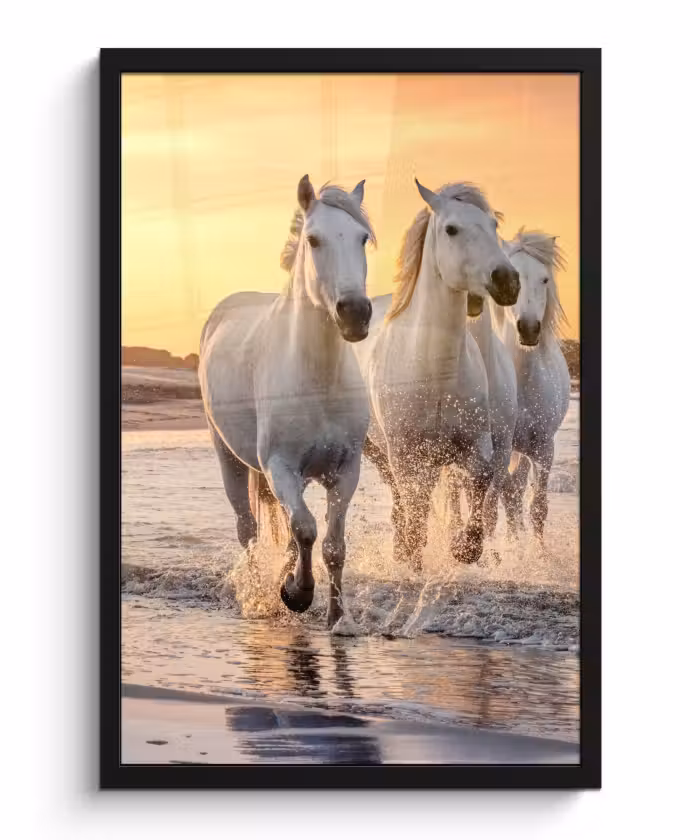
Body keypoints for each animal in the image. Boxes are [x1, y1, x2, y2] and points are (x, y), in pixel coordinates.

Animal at [198, 176, 375, 628]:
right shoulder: (279, 466)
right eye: (313, 239)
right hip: (230, 458)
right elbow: (307, 529)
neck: (318, 379)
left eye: (363, 238)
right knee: (248, 530)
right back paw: (259, 594)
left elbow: (331, 544)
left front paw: (336, 617)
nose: (354, 313)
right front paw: (296, 594)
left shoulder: (346, 470)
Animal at [353, 180, 520, 571]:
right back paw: (402, 549)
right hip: (379, 450)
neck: (434, 373)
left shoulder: (476, 446)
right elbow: (414, 508)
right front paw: (412, 555)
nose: (507, 281)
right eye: (451, 229)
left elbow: (480, 486)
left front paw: (464, 549)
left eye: (493, 225)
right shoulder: (405, 454)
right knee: (402, 499)